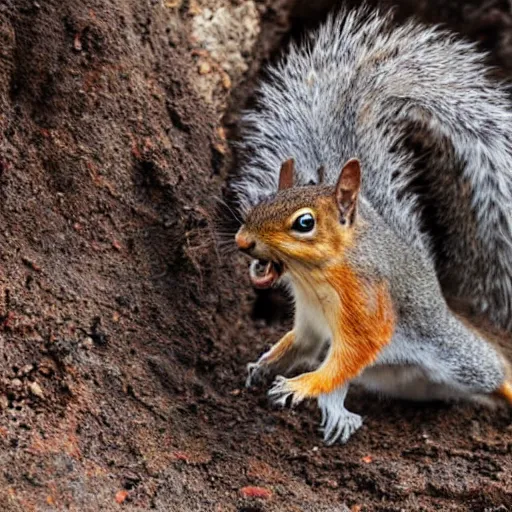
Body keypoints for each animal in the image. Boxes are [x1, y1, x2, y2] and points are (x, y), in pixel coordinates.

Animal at [230, 7, 512, 444]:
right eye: (262, 202)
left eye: (305, 223)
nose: (243, 241)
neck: (314, 277)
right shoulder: (311, 324)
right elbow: (300, 345)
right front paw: (264, 364)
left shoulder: (367, 306)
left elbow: (347, 357)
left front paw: (301, 385)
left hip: (458, 355)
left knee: (493, 369)